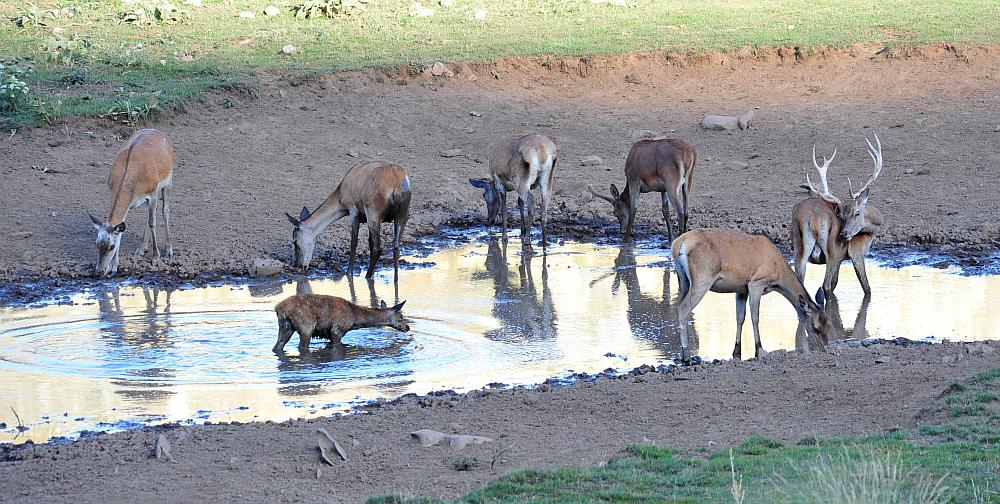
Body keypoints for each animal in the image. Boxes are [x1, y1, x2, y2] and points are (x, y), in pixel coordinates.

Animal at [90, 126, 176, 276]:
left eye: (112, 246)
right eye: (96, 244)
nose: (100, 271)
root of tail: (157, 131)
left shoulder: (153, 193)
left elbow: (153, 223)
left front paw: (155, 257)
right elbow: (122, 229)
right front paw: (114, 267)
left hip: (168, 181)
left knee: (165, 210)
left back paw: (169, 251)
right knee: (148, 216)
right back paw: (141, 249)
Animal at [272, 294, 408, 352]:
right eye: (400, 317)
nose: (407, 327)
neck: (354, 320)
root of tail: (279, 308)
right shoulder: (337, 329)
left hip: (285, 326)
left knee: (278, 345)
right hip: (306, 326)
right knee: (302, 346)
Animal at [672, 228, 836, 362]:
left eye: (828, 325)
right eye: (815, 327)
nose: (823, 349)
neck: (778, 274)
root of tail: (678, 244)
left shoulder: (741, 289)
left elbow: (740, 318)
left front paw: (737, 352)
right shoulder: (756, 283)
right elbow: (755, 317)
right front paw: (760, 350)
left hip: (684, 280)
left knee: (678, 305)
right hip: (702, 279)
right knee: (682, 309)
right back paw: (686, 355)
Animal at [792, 135, 888, 300]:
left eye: (856, 213)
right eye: (841, 215)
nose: (844, 234)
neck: (873, 230)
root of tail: (812, 218)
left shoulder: (841, 259)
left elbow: (836, 282)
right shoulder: (855, 252)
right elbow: (866, 287)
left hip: (799, 246)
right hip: (832, 250)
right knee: (825, 285)